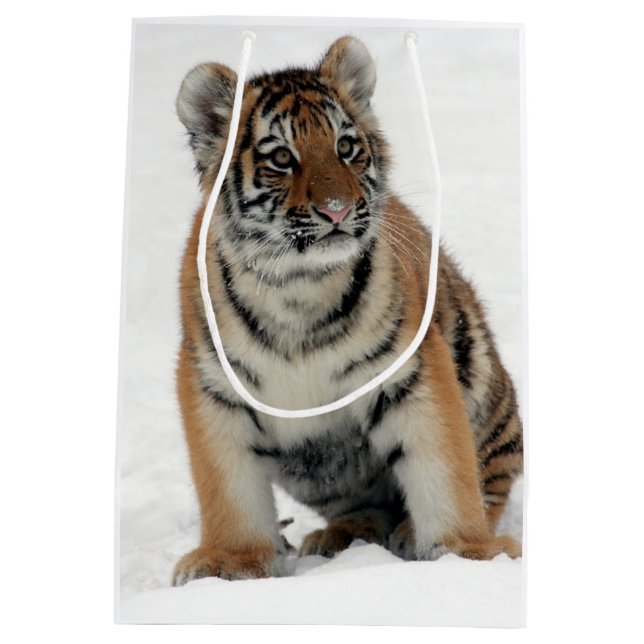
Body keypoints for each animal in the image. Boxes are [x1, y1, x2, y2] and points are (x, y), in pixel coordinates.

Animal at [172, 35, 523, 585]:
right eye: (281, 157)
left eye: (346, 148)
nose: (336, 209)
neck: (298, 286)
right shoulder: (213, 386)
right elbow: (226, 486)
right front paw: (228, 562)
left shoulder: (412, 372)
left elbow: (444, 469)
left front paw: (467, 555)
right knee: (363, 502)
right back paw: (342, 535)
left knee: (487, 482)